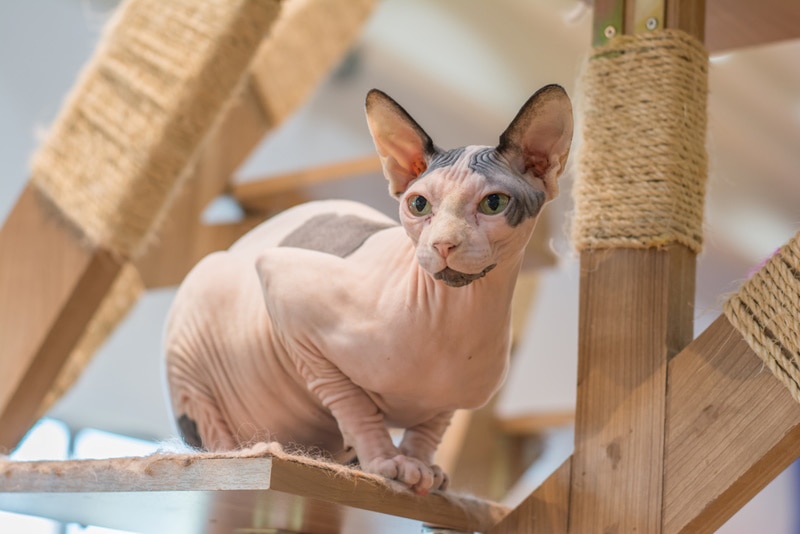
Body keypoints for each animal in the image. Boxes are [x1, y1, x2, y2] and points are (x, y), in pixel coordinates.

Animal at [166, 85, 572, 498]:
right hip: (194, 319)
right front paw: (386, 460)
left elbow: (430, 427)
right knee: (207, 426)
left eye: (494, 203)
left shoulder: (453, 400)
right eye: (418, 204)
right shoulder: (283, 285)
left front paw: (422, 465)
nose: (443, 244)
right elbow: (353, 404)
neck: (450, 319)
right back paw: (243, 450)